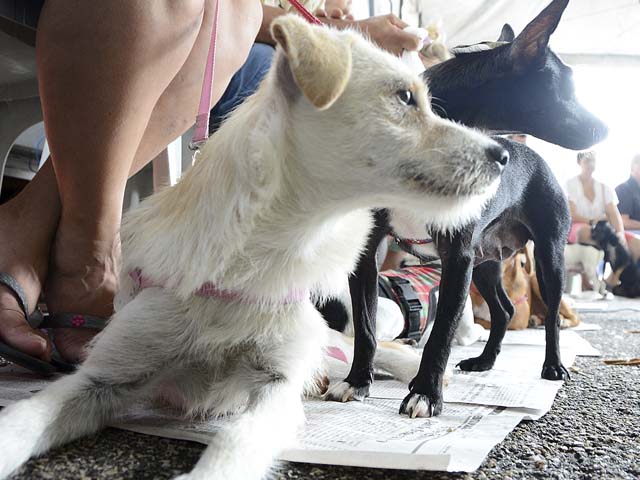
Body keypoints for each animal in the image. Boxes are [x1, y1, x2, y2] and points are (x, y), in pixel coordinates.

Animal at [0, 15, 504, 480]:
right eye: (404, 98)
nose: (503, 155)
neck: (256, 261)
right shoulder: (99, 377)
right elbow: (24, 416)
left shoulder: (276, 389)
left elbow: (236, 440)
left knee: (377, 348)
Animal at [322, 0, 608, 416]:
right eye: (567, 86)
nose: (606, 130)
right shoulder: (371, 253)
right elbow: (365, 325)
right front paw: (357, 381)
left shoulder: (456, 256)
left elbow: (440, 333)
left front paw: (426, 394)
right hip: (486, 262)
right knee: (504, 311)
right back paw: (485, 361)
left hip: (547, 258)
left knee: (553, 315)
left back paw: (552, 365)